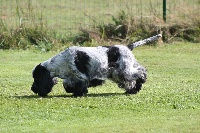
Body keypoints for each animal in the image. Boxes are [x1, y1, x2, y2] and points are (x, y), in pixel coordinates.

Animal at [31, 34, 162, 96]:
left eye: (36, 78)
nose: (32, 89)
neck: (60, 62)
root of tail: (127, 46)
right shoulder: (72, 77)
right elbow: (67, 85)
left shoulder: (80, 76)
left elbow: (77, 86)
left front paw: (78, 93)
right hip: (122, 71)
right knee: (138, 72)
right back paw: (132, 90)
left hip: (123, 71)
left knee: (141, 74)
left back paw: (136, 88)